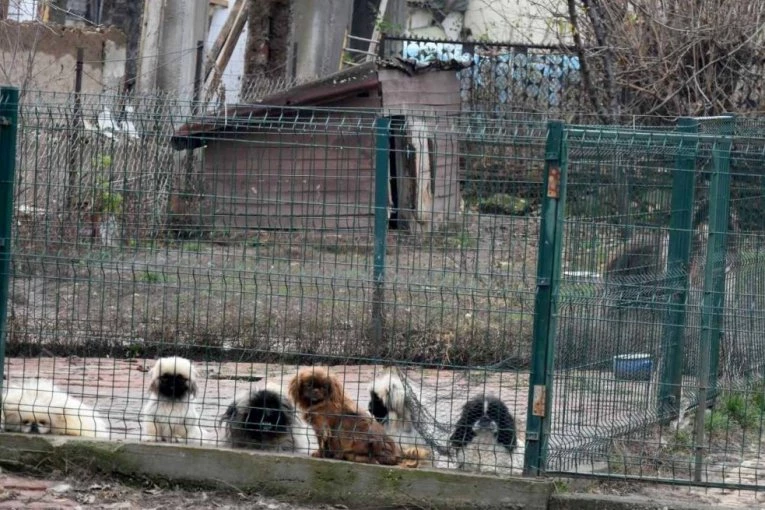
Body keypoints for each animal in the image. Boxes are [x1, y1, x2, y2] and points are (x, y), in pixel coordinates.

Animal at [288, 366, 430, 466]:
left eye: (324, 387)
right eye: (309, 385)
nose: (316, 391)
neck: (320, 402)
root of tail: (396, 454)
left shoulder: (322, 426)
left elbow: (323, 442)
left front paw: (320, 454)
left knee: (372, 459)